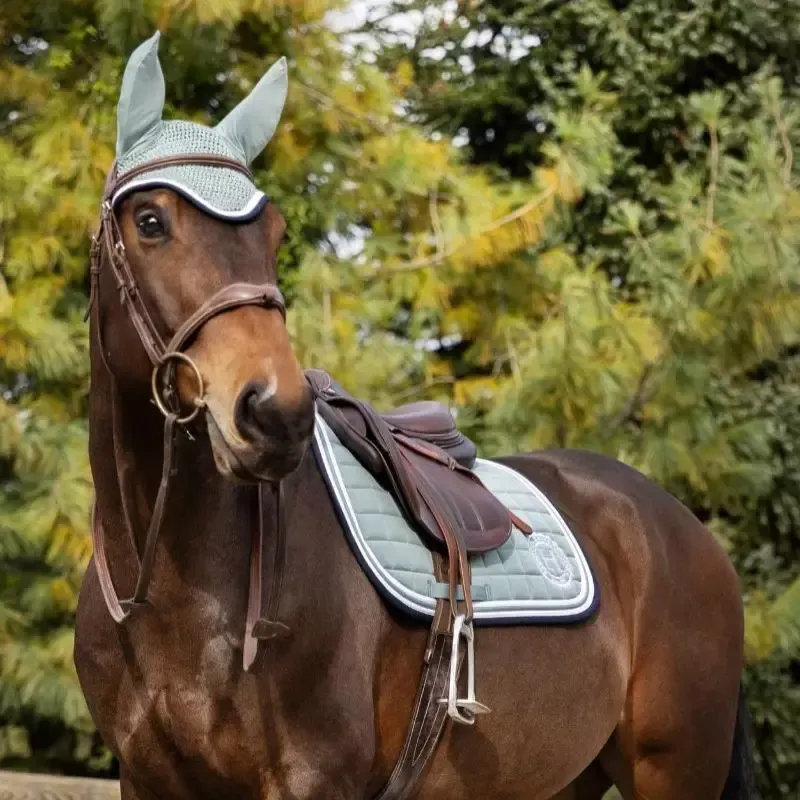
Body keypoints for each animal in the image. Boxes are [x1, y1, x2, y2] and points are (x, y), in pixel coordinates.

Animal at [74, 33, 757, 800]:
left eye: (274, 233)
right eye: (151, 221)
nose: (276, 412)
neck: (170, 591)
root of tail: (687, 532)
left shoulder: (316, 781)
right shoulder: (145, 779)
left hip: (673, 772)